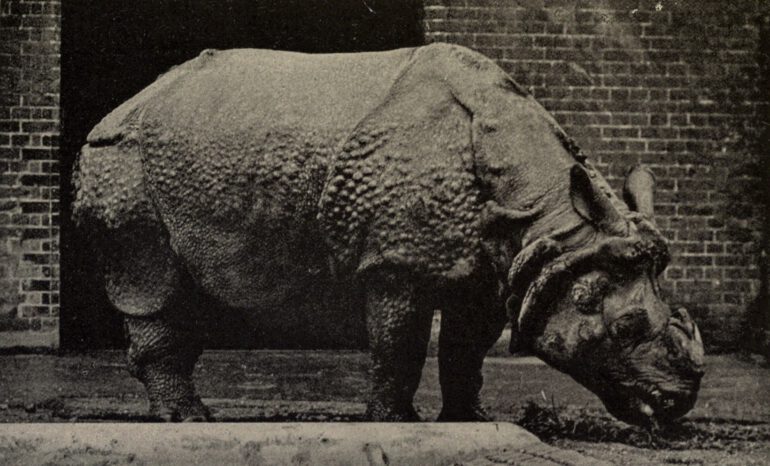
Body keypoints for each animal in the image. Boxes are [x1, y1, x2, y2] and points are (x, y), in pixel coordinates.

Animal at [73, 43, 704, 425]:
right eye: (625, 326)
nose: (678, 404)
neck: (547, 213)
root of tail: (118, 108)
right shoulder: (395, 261)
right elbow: (399, 343)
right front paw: (396, 423)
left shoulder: (502, 265)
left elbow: (465, 348)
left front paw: (468, 422)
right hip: (121, 162)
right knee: (151, 281)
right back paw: (189, 420)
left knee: (192, 288)